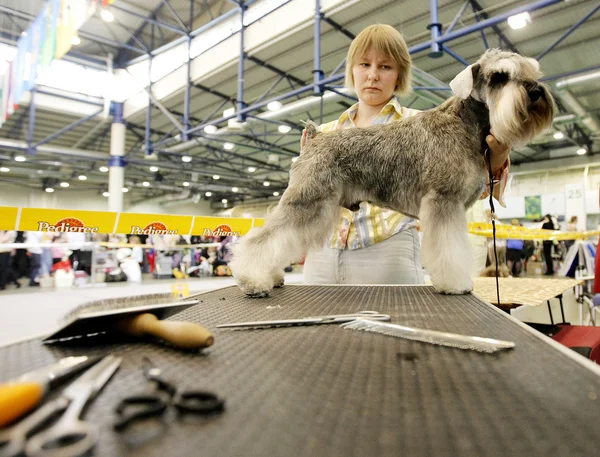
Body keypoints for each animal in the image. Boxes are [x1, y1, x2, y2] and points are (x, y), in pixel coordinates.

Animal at [229, 49, 552, 296]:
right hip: (307, 203)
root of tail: (315, 137)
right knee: (263, 239)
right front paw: (455, 284)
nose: (536, 92)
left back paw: (271, 277)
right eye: (499, 77)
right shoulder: (444, 202)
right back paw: (252, 280)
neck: (465, 124)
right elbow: (450, 250)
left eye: (531, 71)